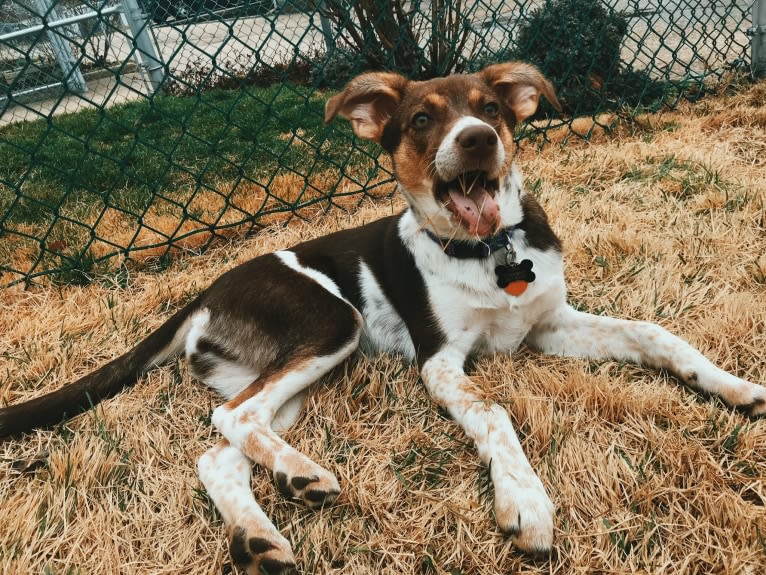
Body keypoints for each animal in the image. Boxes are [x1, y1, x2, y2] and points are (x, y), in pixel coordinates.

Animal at [1, 60, 766, 572]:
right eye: (423, 119)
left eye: (492, 107)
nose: (479, 138)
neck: (489, 250)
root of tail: (203, 294)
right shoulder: (442, 362)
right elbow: (495, 413)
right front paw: (526, 502)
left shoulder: (552, 323)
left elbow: (654, 332)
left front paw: (737, 388)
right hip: (332, 324)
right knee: (230, 419)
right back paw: (302, 477)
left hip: (292, 379)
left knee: (223, 444)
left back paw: (264, 525)